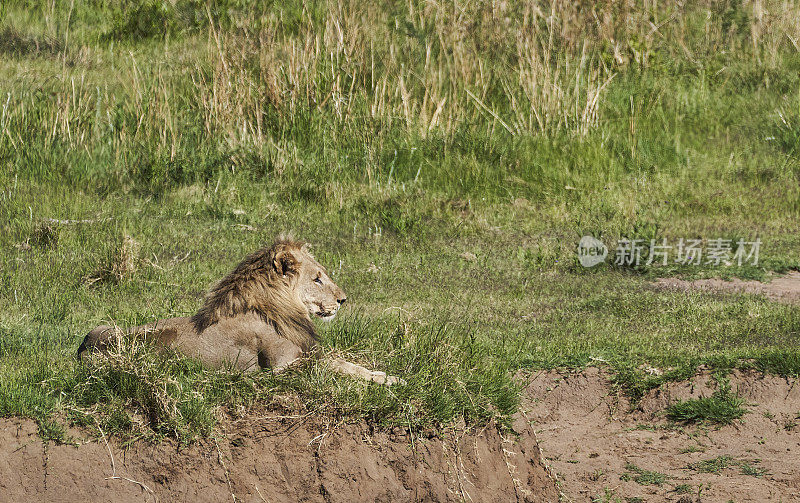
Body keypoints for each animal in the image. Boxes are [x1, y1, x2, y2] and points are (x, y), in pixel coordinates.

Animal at [79, 239, 404, 386]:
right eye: (317, 278)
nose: (343, 300)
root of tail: (84, 349)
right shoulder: (282, 367)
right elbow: (331, 366)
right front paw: (388, 379)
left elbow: (344, 362)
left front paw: (382, 373)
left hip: (104, 326)